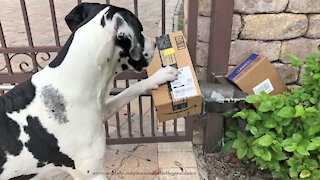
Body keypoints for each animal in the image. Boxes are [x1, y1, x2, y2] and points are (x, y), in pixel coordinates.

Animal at [0, 2, 180, 180]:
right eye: (140, 30)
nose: (155, 44)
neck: (70, 79)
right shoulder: (93, 174)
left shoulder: (101, 109)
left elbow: (130, 89)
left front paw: (159, 76)